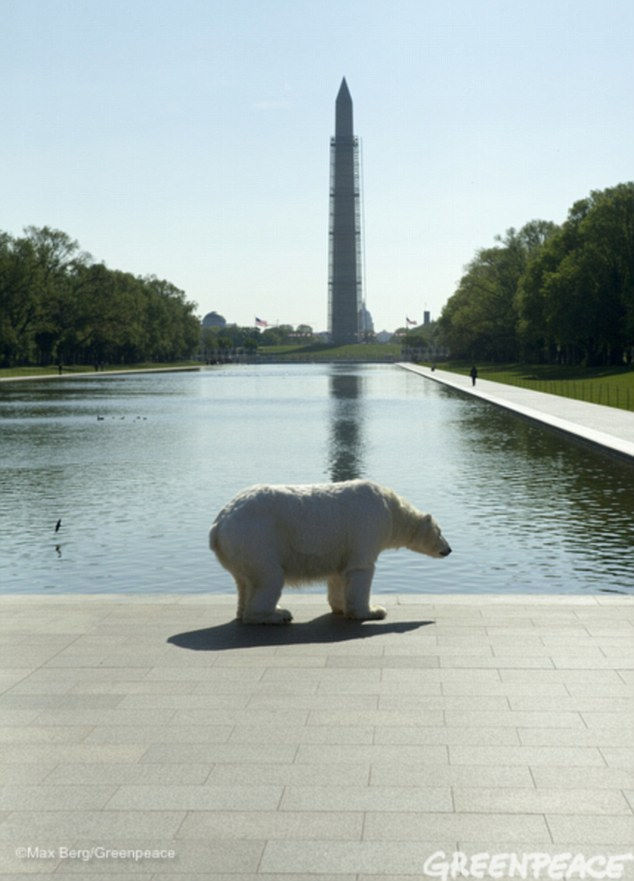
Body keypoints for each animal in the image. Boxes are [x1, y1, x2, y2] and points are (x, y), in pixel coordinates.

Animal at [207, 482, 450, 624]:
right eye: (440, 532)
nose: (448, 550)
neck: (391, 509)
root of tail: (218, 525)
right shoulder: (368, 526)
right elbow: (361, 569)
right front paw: (373, 611)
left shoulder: (341, 546)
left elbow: (339, 575)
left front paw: (340, 607)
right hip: (256, 537)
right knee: (269, 577)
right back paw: (277, 614)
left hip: (240, 547)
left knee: (245, 581)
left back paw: (249, 611)